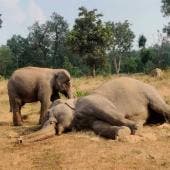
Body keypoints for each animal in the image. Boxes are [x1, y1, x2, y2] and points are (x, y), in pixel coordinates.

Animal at [18, 76, 170, 142]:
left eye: (49, 113)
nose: (19, 139)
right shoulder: (89, 121)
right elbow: (99, 126)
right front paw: (121, 132)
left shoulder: (94, 101)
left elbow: (111, 114)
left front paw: (136, 128)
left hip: (151, 93)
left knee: (161, 107)